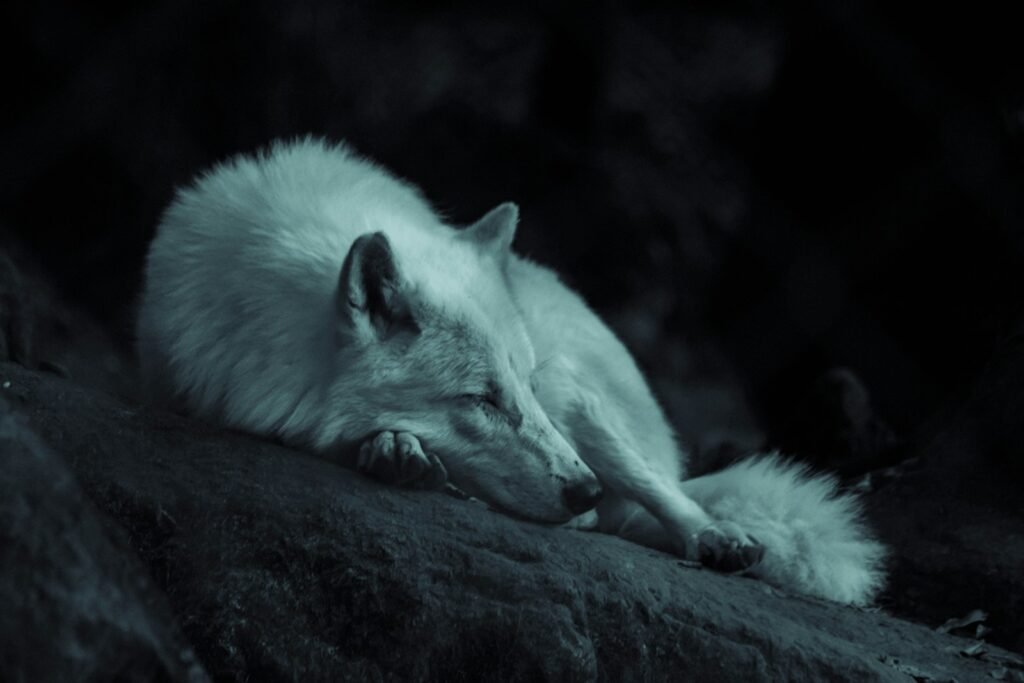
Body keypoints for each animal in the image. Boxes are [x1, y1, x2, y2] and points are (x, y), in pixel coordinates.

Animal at [137, 137, 886, 605]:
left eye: (518, 388)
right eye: (481, 399)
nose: (582, 488)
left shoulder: (551, 392)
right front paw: (396, 449)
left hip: (580, 397)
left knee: (663, 494)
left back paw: (714, 536)